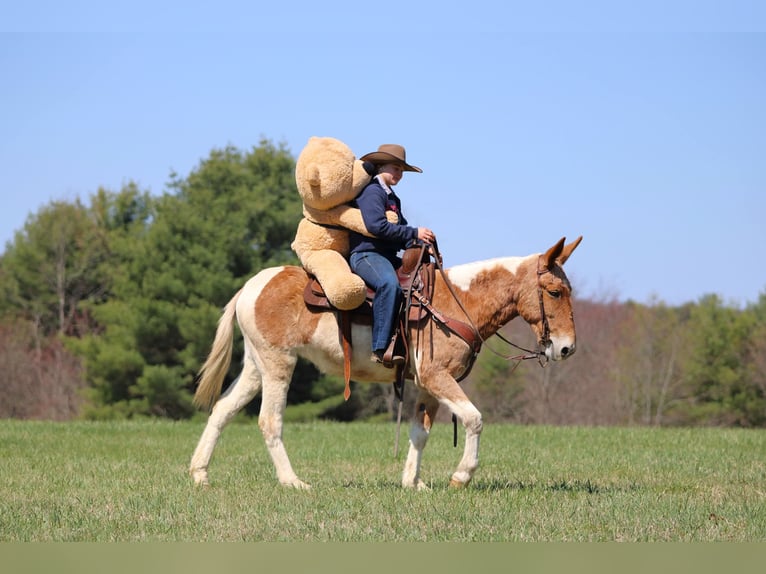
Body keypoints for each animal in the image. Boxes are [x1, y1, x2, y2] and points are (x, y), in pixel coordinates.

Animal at [190, 236, 582, 490]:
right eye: (554, 292)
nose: (566, 349)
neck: (458, 302)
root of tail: (251, 286)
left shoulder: (426, 386)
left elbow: (419, 432)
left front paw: (413, 482)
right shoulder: (437, 377)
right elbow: (474, 419)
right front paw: (461, 476)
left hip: (255, 367)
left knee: (222, 410)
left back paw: (200, 474)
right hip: (277, 365)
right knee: (270, 421)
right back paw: (293, 482)